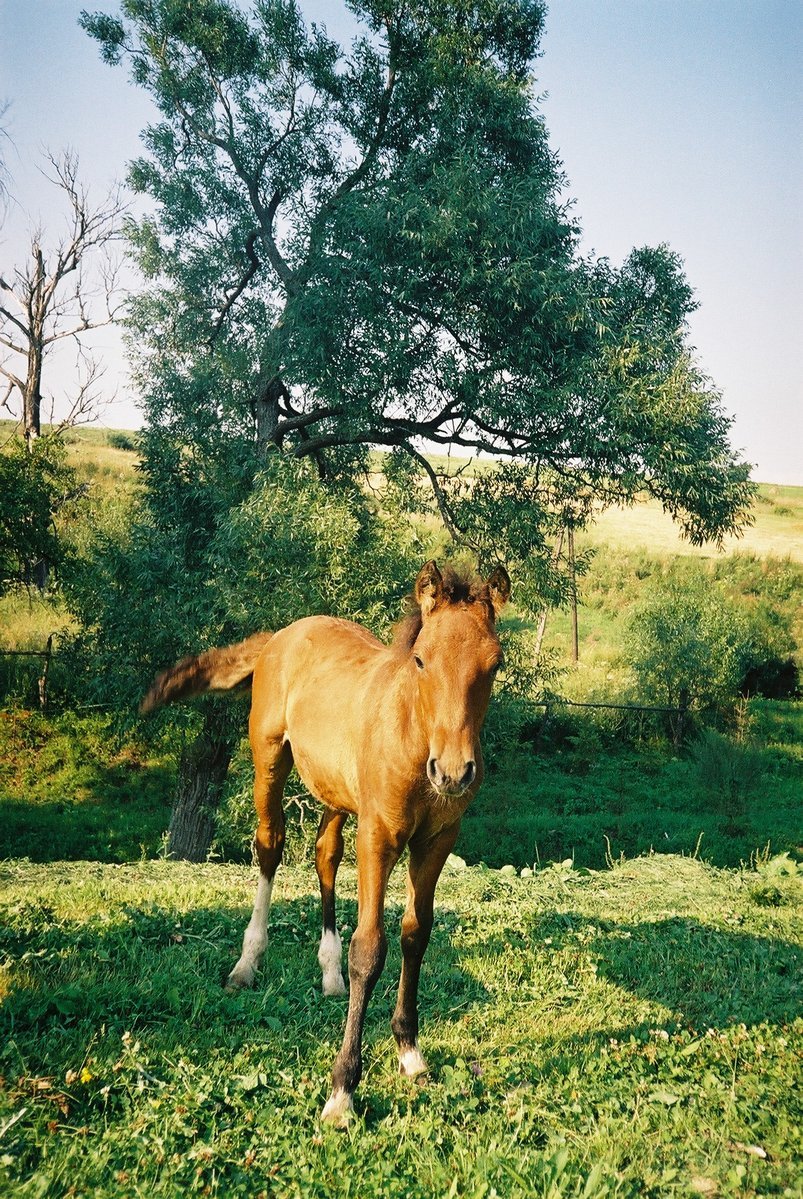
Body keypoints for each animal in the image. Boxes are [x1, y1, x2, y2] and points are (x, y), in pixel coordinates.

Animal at [142, 561, 512, 1122]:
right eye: (421, 659)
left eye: (493, 664)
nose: (452, 772)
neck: (411, 732)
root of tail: (284, 633)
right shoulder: (378, 836)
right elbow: (370, 949)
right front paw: (342, 1091)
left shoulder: (437, 840)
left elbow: (415, 935)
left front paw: (410, 1053)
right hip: (269, 761)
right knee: (270, 847)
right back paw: (246, 964)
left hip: (335, 793)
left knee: (324, 855)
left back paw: (329, 975)